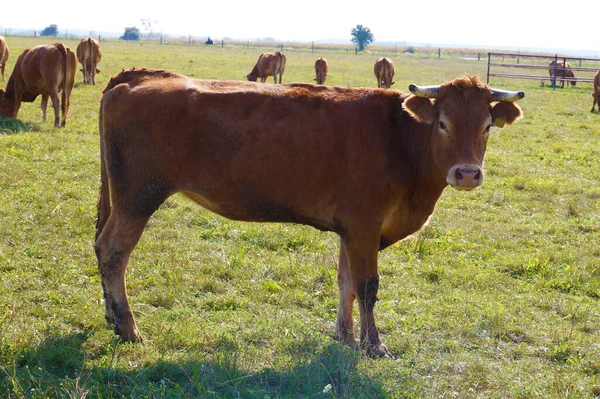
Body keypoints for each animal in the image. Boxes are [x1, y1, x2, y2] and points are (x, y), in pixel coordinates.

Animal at [96, 69, 524, 360]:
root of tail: (140, 76)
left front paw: (344, 337)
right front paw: (374, 346)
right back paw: (128, 328)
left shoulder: (351, 229)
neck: (400, 137)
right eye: (443, 123)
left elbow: (345, 282)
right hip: (138, 197)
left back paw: (112, 318)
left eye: (488, 125)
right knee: (113, 251)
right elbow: (367, 287)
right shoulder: (365, 225)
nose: (467, 173)